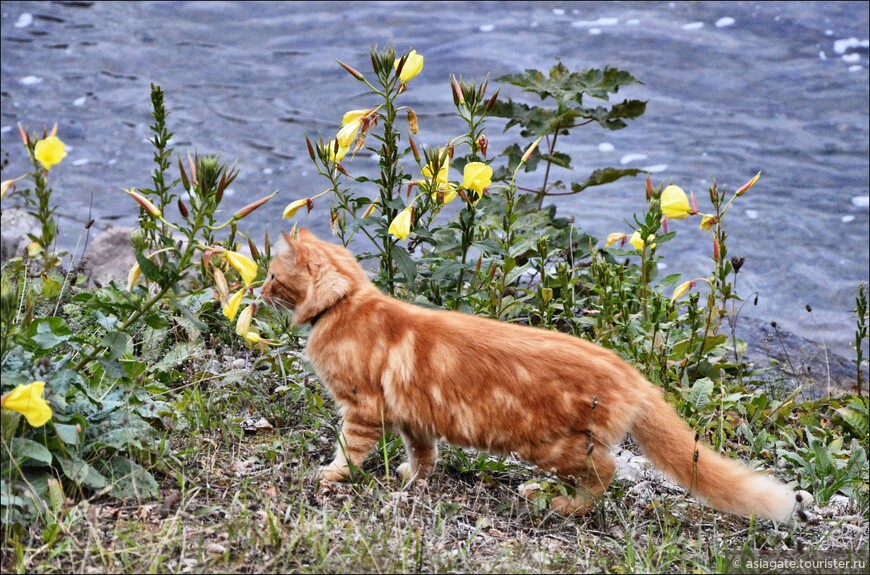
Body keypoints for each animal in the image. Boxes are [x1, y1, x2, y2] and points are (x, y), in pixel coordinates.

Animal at [262, 230, 800, 520]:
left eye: (271, 275)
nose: (257, 290)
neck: (346, 304)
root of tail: (632, 373)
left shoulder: (362, 409)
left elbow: (349, 451)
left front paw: (331, 474)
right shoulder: (414, 414)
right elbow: (423, 453)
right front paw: (414, 477)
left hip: (549, 446)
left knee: (605, 474)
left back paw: (555, 502)